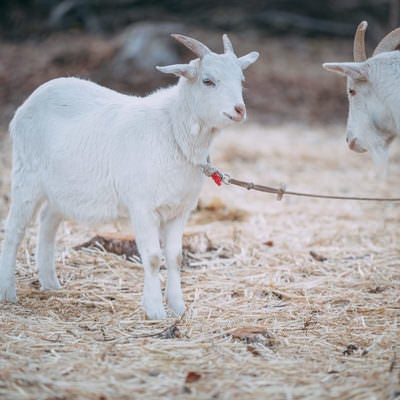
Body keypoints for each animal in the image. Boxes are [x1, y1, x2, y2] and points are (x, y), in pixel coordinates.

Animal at [0, 33, 260, 318]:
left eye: (241, 80)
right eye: (208, 81)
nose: (239, 110)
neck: (173, 129)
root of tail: (29, 102)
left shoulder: (180, 210)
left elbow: (175, 257)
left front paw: (178, 308)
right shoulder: (142, 207)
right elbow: (154, 257)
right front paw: (155, 310)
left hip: (63, 186)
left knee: (48, 219)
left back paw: (50, 283)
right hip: (26, 176)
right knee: (15, 230)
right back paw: (8, 292)